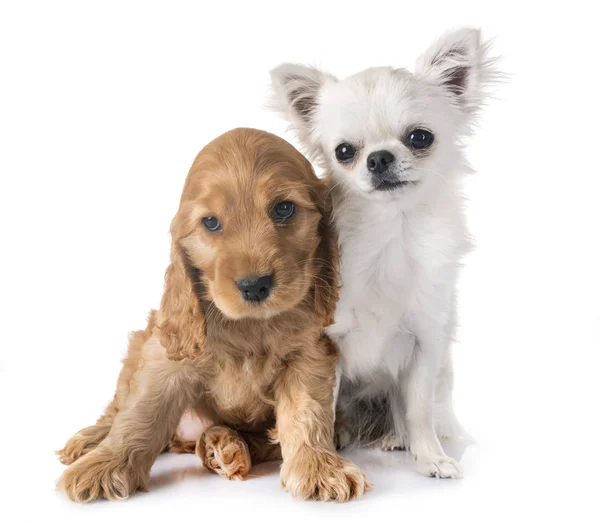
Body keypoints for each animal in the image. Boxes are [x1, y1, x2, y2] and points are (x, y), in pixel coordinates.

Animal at [57, 127, 366, 504]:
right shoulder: (166, 356)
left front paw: (320, 467)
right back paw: (91, 441)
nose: (254, 286)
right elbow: (142, 411)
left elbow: (306, 412)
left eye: (284, 208)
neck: (249, 326)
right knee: (117, 408)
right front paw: (107, 465)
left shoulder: (308, 353)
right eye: (211, 222)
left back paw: (225, 446)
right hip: (138, 346)